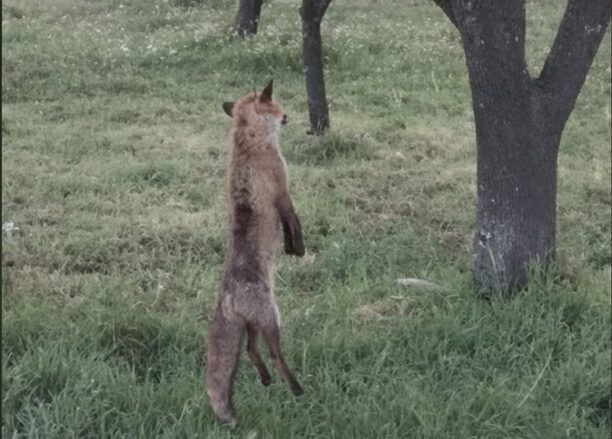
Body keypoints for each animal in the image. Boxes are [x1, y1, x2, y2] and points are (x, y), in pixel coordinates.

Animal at [207, 79, 304, 426]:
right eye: (277, 105)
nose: (288, 117)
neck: (249, 141)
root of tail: (228, 294)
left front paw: (290, 250)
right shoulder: (282, 189)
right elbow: (293, 222)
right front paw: (297, 249)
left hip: (251, 326)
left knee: (250, 352)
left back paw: (265, 380)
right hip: (272, 319)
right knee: (274, 355)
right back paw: (295, 387)